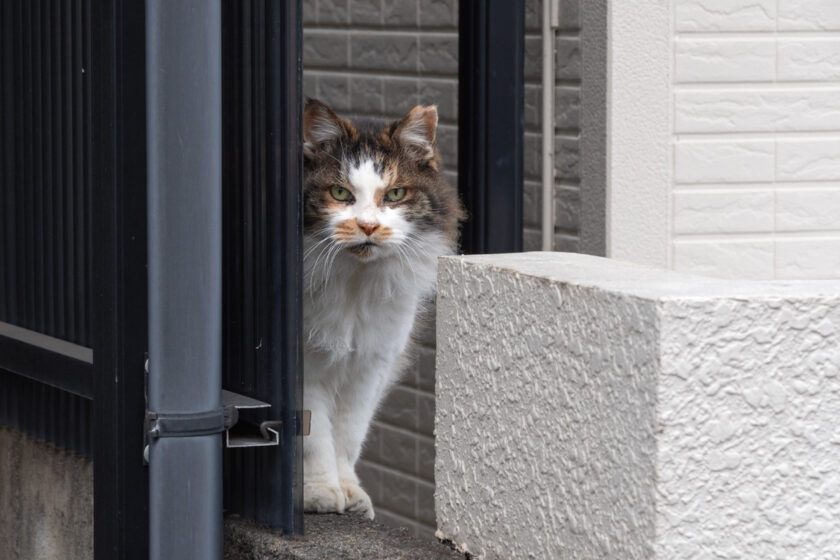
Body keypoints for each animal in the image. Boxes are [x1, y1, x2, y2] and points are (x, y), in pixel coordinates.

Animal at [300, 97, 462, 520]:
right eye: (340, 193)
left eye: (395, 194)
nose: (368, 227)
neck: (355, 282)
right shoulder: (305, 367)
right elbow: (314, 438)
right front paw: (319, 494)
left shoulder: (370, 364)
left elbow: (347, 435)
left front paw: (351, 494)